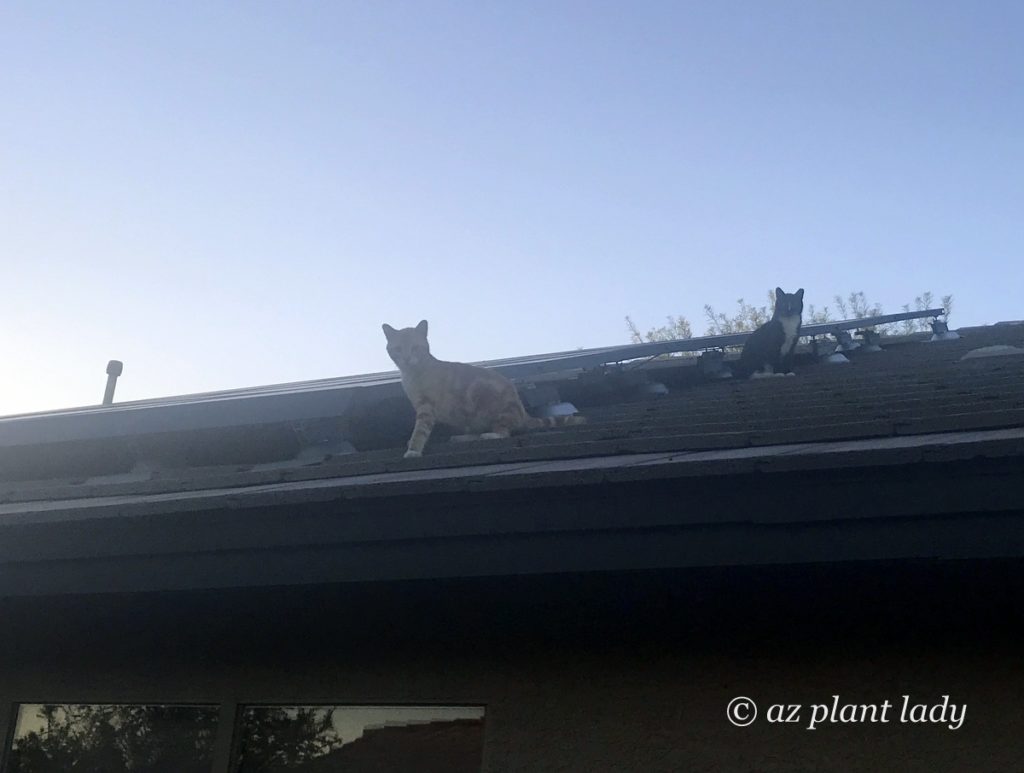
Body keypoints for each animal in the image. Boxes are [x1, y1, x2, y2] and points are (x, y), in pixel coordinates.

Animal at [385, 321, 589, 458]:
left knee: (503, 432)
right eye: (398, 349)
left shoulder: (426, 408)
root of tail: (523, 413)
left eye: (415, 348)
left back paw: (490, 434)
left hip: (492, 405)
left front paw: (413, 450)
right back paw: (461, 438)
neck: (412, 374)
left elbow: (420, 431)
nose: (406, 358)